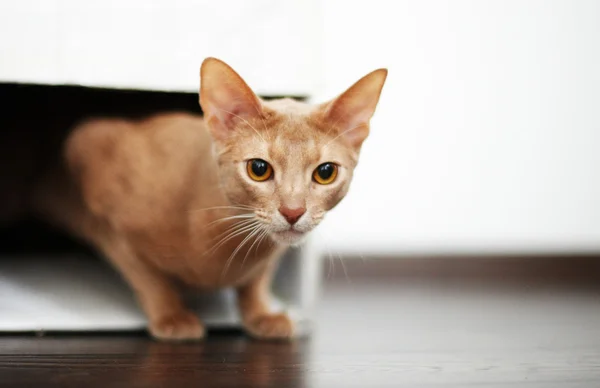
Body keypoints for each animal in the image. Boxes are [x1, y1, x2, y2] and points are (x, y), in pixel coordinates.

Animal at [31, 56, 390, 340]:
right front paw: (171, 316)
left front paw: (260, 313)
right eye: (259, 168)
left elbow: (257, 279)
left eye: (325, 172)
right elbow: (146, 276)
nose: (293, 211)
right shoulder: (96, 177)